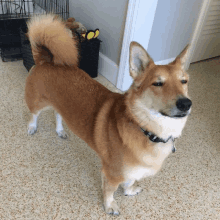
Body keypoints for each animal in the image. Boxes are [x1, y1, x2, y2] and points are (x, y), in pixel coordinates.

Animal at [24, 15, 192, 215]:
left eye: (184, 81)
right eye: (158, 83)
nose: (186, 104)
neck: (146, 130)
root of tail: (46, 59)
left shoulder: (130, 171)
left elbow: (129, 181)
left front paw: (128, 191)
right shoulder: (112, 173)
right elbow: (110, 191)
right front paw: (110, 205)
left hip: (59, 104)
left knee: (58, 114)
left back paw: (60, 131)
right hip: (37, 102)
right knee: (34, 114)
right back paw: (32, 127)